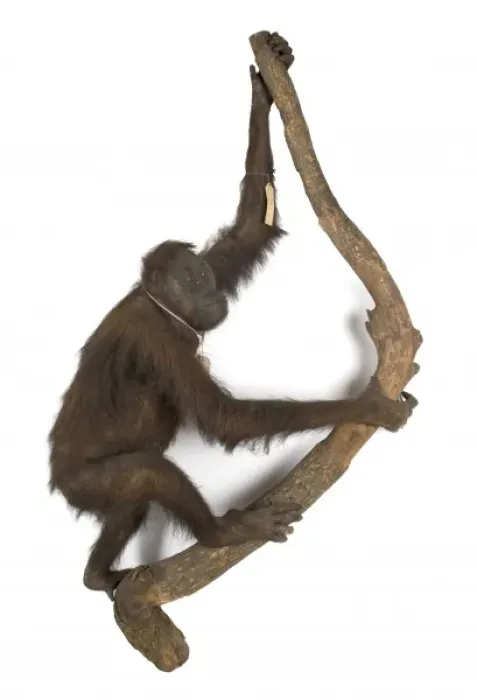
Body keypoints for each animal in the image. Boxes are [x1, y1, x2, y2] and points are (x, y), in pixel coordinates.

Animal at [48, 33, 417, 599]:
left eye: (202, 274)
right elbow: (226, 418)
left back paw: (98, 574)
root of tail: (57, 479)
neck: (164, 309)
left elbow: (249, 230)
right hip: (82, 482)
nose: (207, 290)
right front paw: (369, 405)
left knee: (133, 496)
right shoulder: (160, 342)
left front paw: (263, 91)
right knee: (145, 475)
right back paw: (221, 534)